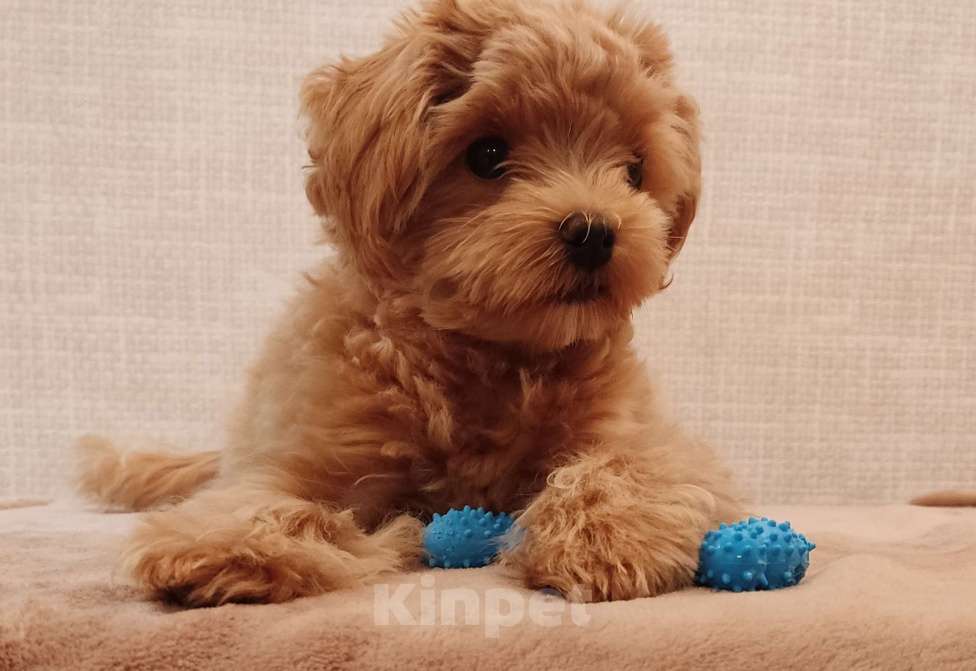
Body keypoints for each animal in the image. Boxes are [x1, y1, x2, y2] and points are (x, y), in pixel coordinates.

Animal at [77, 0, 742, 607]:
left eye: (635, 170)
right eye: (486, 155)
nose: (595, 233)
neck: (488, 355)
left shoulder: (647, 440)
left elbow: (632, 469)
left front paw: (604, 537)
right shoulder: (316, 453)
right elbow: (261, 498)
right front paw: (223, 548)